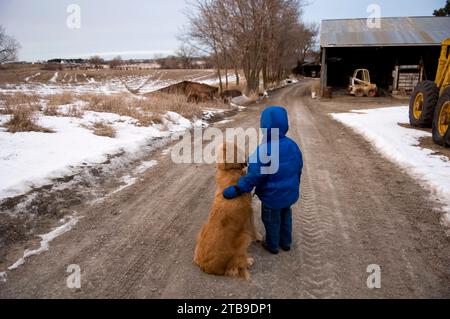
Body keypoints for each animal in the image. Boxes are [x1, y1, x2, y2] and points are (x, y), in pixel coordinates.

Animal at [194, 142, 256, 280]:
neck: (230, 170)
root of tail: (205, 267)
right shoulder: (250, 210)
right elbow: (254, 228)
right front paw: (259, 237)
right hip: (244, 237)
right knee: (236, 264)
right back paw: (248, 261)